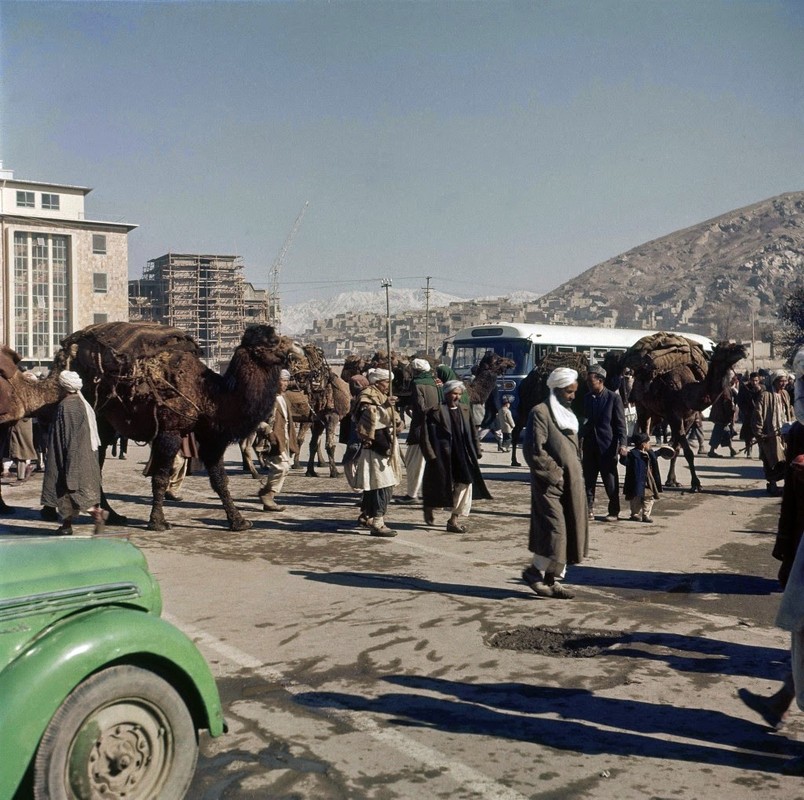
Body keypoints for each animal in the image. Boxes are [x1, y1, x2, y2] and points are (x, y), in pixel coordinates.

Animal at [56, 318, 302, 532]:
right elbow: (160, 477)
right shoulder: (169, 432)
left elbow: (220, 480)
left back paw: (112, 515)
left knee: (97, 460)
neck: (209, 394)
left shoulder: (211, 437)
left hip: (104, 424)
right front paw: (158, 522)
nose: (298, 346)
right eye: (272, 340)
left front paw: (239, 521)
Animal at [620, 332, 748, 494]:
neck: (686, 392)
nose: (743, 349)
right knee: (644, 433)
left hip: (657, 414)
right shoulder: (675, 416)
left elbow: (677, 449)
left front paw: (672, 481)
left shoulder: (689, 418)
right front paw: (696, 484)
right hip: (642, 407)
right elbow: (688, 452)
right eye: (724, 348)